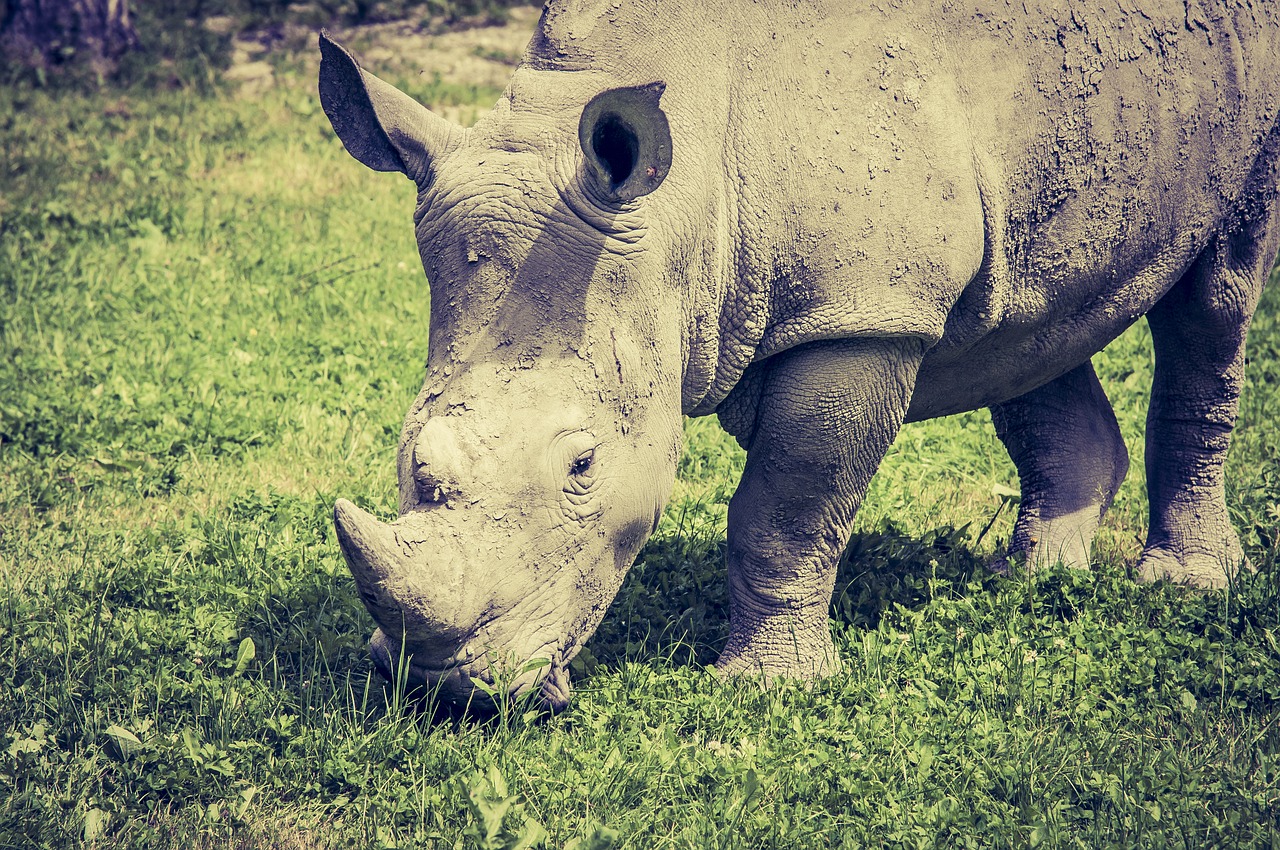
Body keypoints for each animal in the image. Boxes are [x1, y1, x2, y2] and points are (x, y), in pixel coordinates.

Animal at [320, 1, 1280, 711]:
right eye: (410, 455)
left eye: (582, 466)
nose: (445, 691)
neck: (682, 199)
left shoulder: (860, 315)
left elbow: (787, 505)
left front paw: (770, 688)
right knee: (1027, 316)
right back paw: (1029, 580)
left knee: (1215, 300)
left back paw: (1186, 586)